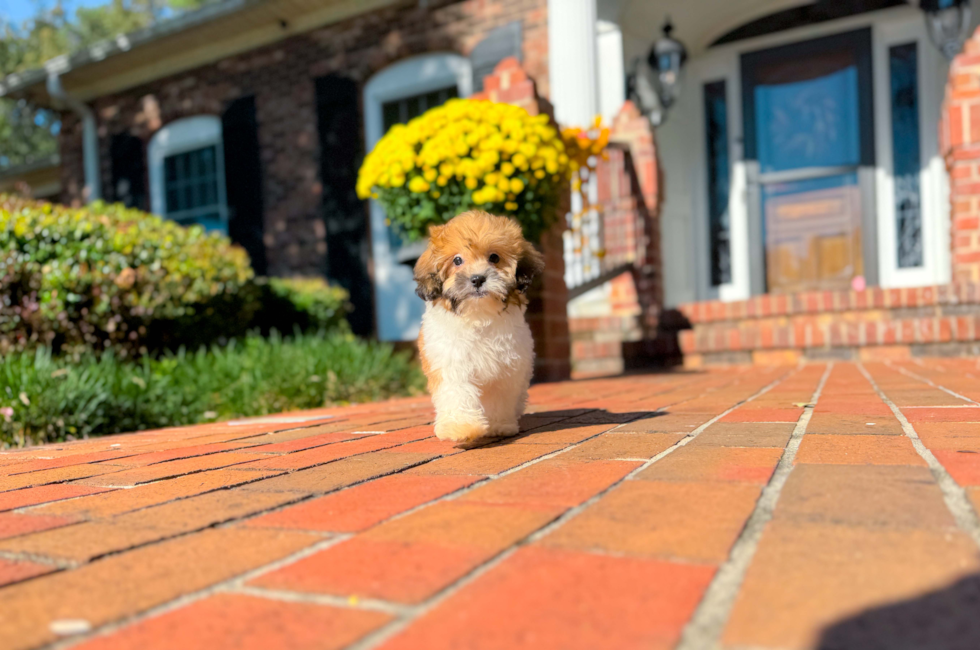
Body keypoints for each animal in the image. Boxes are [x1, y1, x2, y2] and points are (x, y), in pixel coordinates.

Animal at [412, 210, 544, 442]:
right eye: (457, 260)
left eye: (494, 257)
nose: (477, 279)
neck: (478, 314)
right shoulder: (450, 361)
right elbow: (457, 391)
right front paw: (461, 427)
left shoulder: (506, 366)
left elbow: (498, 396)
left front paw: (499, 425)